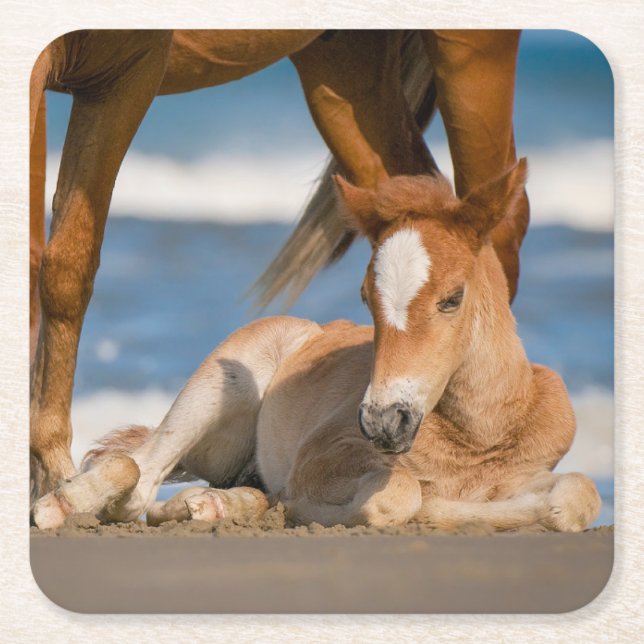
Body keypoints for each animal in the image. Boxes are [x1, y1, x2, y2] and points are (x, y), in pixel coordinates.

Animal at [29, 29, 528, 507]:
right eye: (363, 298)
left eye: (453, 299)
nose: (384, 424)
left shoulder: (127, 72)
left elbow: (61, 262)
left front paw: (50, 474)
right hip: (345, 75)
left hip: (470, 54)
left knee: (499, 221)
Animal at [32, 163, 600, 533]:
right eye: (366, 296)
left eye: (452, 298)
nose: (382, 422)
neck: (480, 434)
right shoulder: (321, 456)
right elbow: (403, 494)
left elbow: (578, 495)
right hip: (225, 379)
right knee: (137, 478)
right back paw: (62, 507)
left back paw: (218, 505)